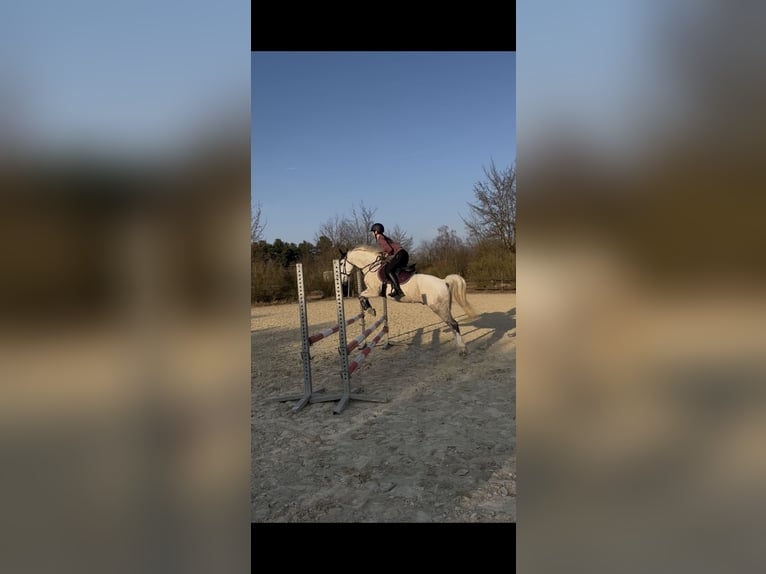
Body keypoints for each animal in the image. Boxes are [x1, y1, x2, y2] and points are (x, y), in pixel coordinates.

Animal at [339, 245, 476, 355]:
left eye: (340, 264)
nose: (343, 282)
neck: (371, 267)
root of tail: (443, 281)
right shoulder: (373, 292)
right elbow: (361, 296)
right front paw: (370, 309)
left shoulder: (374, 291)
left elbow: (360, 295)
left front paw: (370, 309)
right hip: (444, 308)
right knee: (451, 324)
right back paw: (457, 346)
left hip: (439, 308)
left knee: (454, 324)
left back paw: (463, 349)